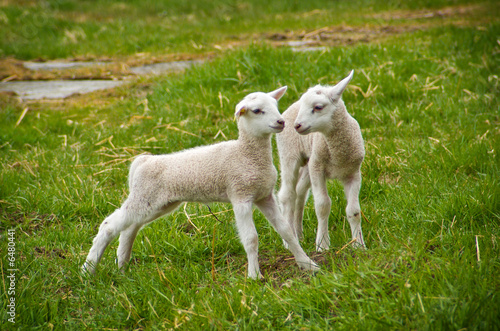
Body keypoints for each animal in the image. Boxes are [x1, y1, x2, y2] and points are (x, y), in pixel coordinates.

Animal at [80, 87, 318, 280]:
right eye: (257, 110)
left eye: (276, 107)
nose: (281, 122)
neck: (246, 154)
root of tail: (142, 161)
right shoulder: (240, 195)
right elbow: (251, 238)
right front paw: (254, 276)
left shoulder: (264, 195)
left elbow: (286, 231)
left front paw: (308, 264)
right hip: (144, 197)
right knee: (109, 225)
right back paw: (87, 270)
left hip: (156, 203)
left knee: (130, 227)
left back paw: (122, 265)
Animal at [276, 70, 366, 252]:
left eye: (318, 107)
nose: (297, 125)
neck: (338, 153)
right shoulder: (318, 170)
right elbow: (323, 206)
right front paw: (323, 245)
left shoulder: (353, 173)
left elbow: (354, 210)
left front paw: (358, 244)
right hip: (290, 155)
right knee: (287, 195)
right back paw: (289, 241)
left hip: (309, 163)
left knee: (299, 194)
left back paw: (299, 235)